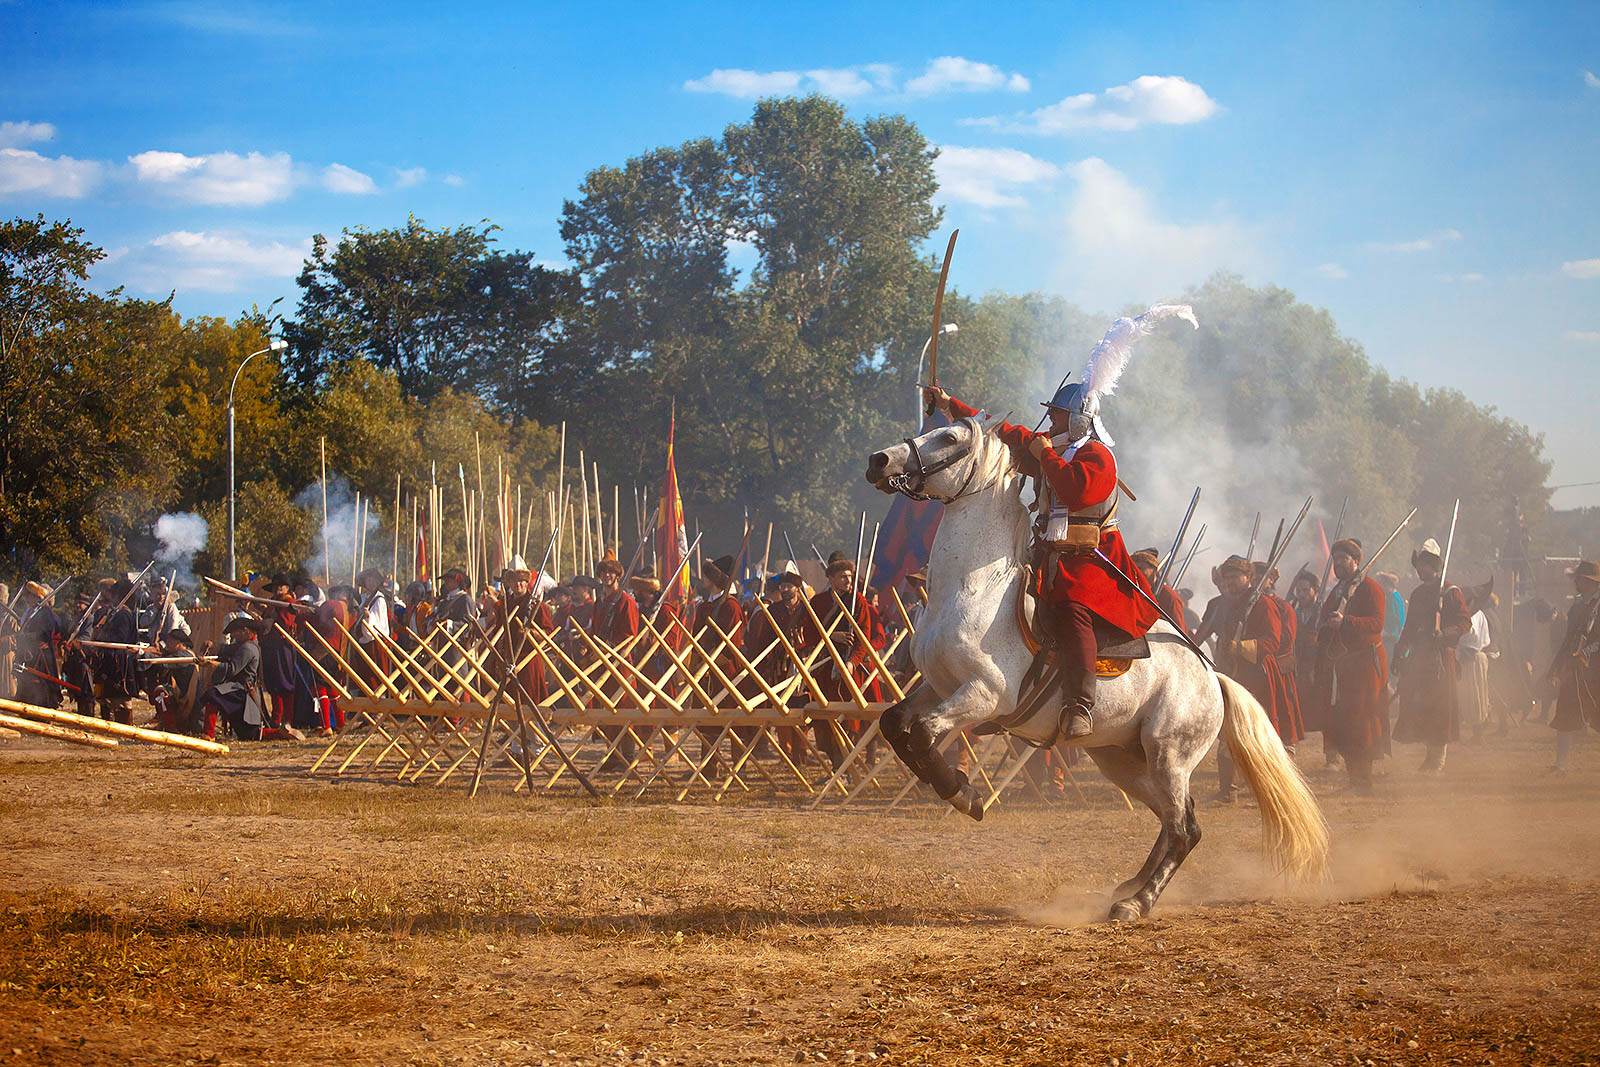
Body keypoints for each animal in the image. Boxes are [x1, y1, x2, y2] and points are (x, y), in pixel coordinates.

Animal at [864, 412, 1324, 921]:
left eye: (949, 436)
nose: (879, 460)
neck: (975, 588)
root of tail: (1212, 676)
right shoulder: (939, 686)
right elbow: (896, 725)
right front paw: (951, 785)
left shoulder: (983, 695)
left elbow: (925, 733)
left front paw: (964, 794)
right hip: (1122, 760)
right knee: (1173, 820)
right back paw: (1129, 887)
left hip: (1169, 755)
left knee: (1186, 830)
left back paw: (1138, 902)